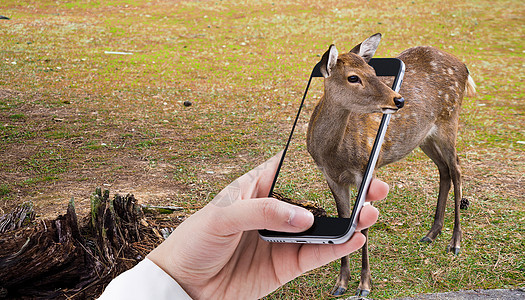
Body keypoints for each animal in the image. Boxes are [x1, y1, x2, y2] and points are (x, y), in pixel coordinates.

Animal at [304, 33, 476, 298]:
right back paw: (431, 233)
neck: (334, 155)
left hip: (449, 120)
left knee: (456, 167)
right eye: (353, 77)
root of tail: (464, 67)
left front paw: (364, 286)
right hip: (424, 136)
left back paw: (455, 242)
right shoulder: (331, 177)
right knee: (444, 169)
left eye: (372, 70)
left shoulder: (366, 170)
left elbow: (364, 227)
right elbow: (345, 219)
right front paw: (341, 283)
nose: (399, 99)